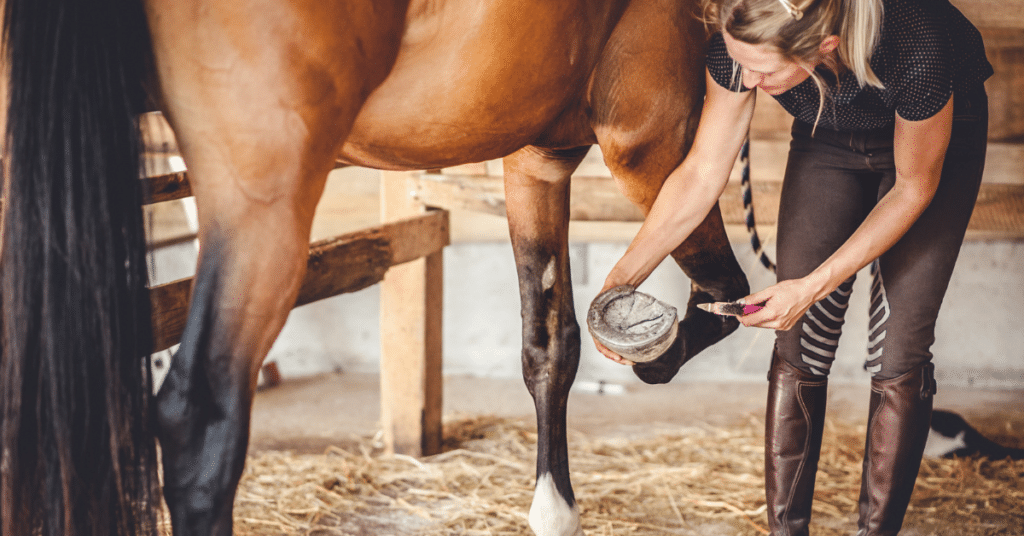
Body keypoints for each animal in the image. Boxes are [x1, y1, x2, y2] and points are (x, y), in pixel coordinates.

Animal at [2, 1, 753, 536]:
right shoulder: (652, 137)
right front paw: (657, 356)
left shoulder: (536, 161)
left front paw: (553, 511)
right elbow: (724, 291)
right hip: (263, 199)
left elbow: (549, 345)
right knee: (199, 425)